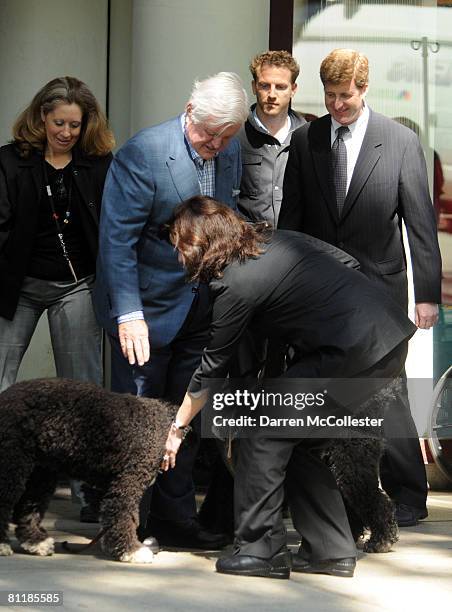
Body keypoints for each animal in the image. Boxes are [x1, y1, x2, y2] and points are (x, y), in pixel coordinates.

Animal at [0, 378, 177, 564]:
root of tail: (5, 395)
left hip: (41, 472)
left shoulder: (104, 486)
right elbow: (123, 515)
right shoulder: (128, 481)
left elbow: (108, 516)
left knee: (29, 506)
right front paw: (132, 550)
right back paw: (4, 545)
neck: (164, 422)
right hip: (13, 463)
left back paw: (36, 542)